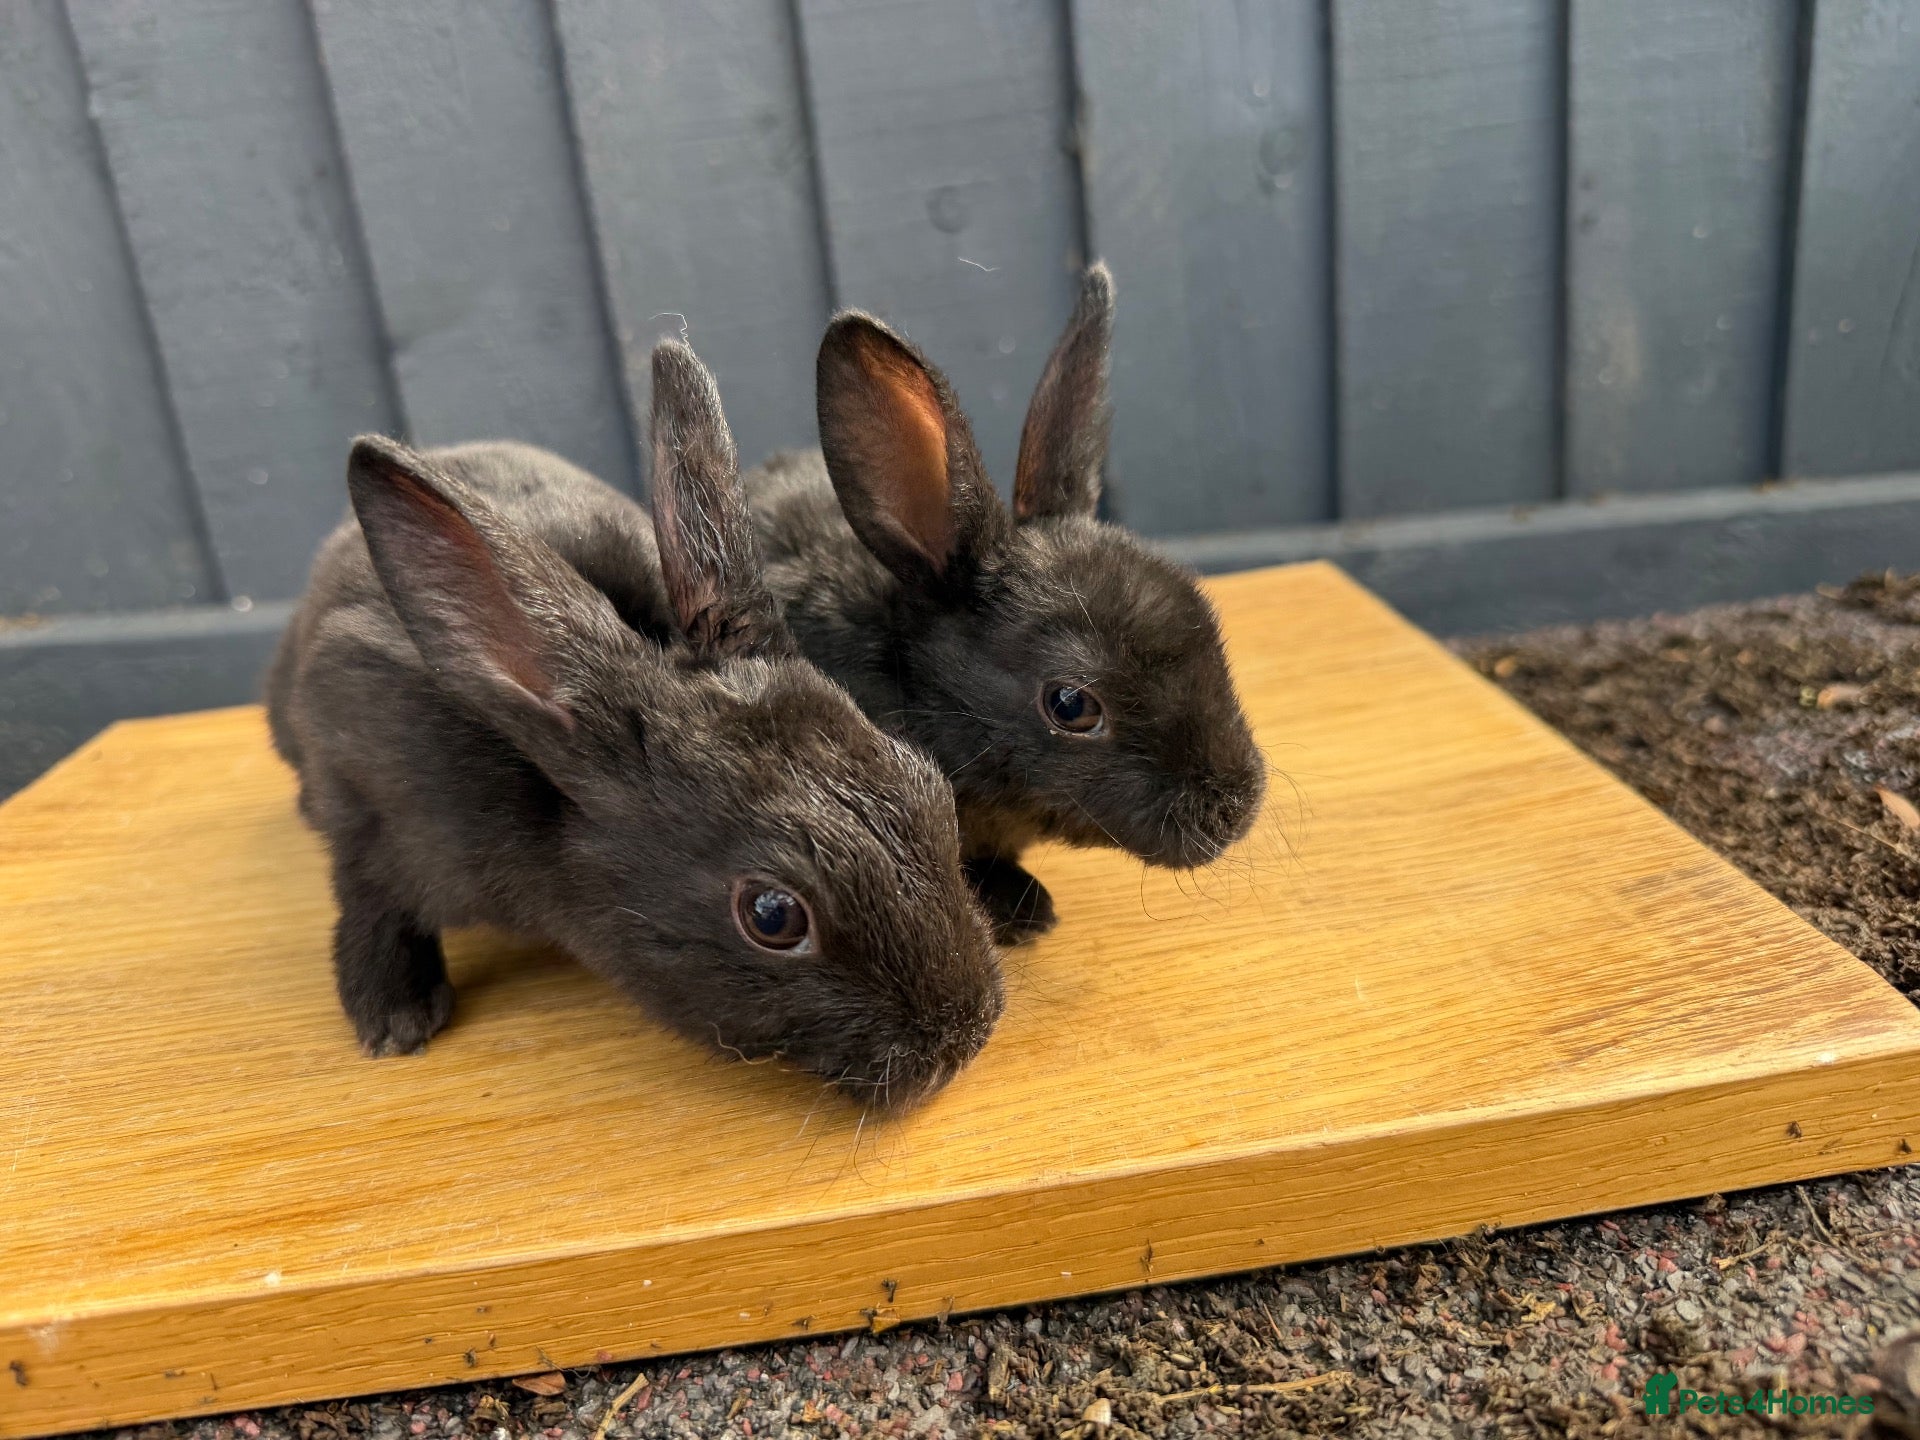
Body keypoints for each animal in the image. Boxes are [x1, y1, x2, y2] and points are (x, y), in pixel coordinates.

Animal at [264, 339, 1003, 1111]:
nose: (965, 1038)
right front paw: (395, 1022)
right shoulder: (370, 812)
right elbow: (371, 903)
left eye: (927, 785)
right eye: (772, 916)